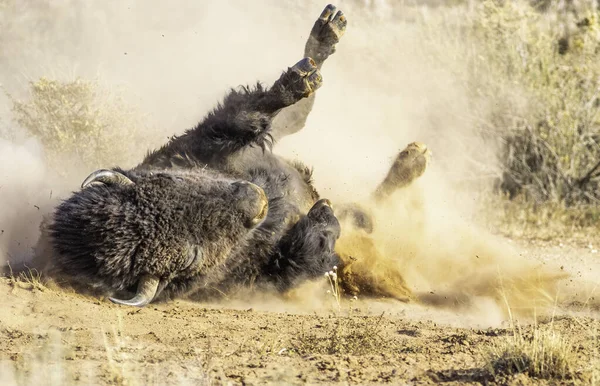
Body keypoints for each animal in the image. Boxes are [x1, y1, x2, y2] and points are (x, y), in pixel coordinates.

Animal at [42, 5, 428, 308]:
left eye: (172, 181)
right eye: (190, 256)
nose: (256, 201)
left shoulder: (208, 141)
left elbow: (248, 112)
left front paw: (299, 80)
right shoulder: (269, 273)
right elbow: (308, 253)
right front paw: (322, 216)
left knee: (298, 117)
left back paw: (327, 36)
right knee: (366, 215)